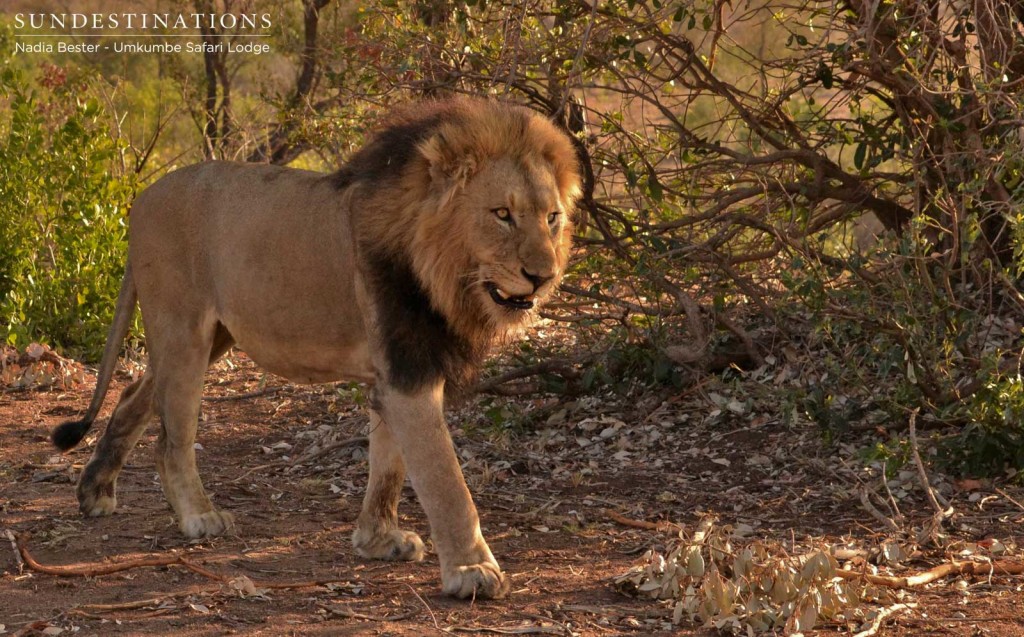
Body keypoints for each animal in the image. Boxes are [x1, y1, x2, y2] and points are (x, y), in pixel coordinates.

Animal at [51, 97, 585, 602]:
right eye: (503, 214)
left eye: (552, 218)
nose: (544, 277)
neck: (445, 274)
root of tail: (141, 198)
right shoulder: (409, 373)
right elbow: (444, 480)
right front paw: (472, 571)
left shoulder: (394, 372)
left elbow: (388, 467)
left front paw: (378, 540)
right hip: (183, 330)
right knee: (170, 438)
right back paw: (199, 517)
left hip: (211, 336)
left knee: (132, 396)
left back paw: (94, 490)